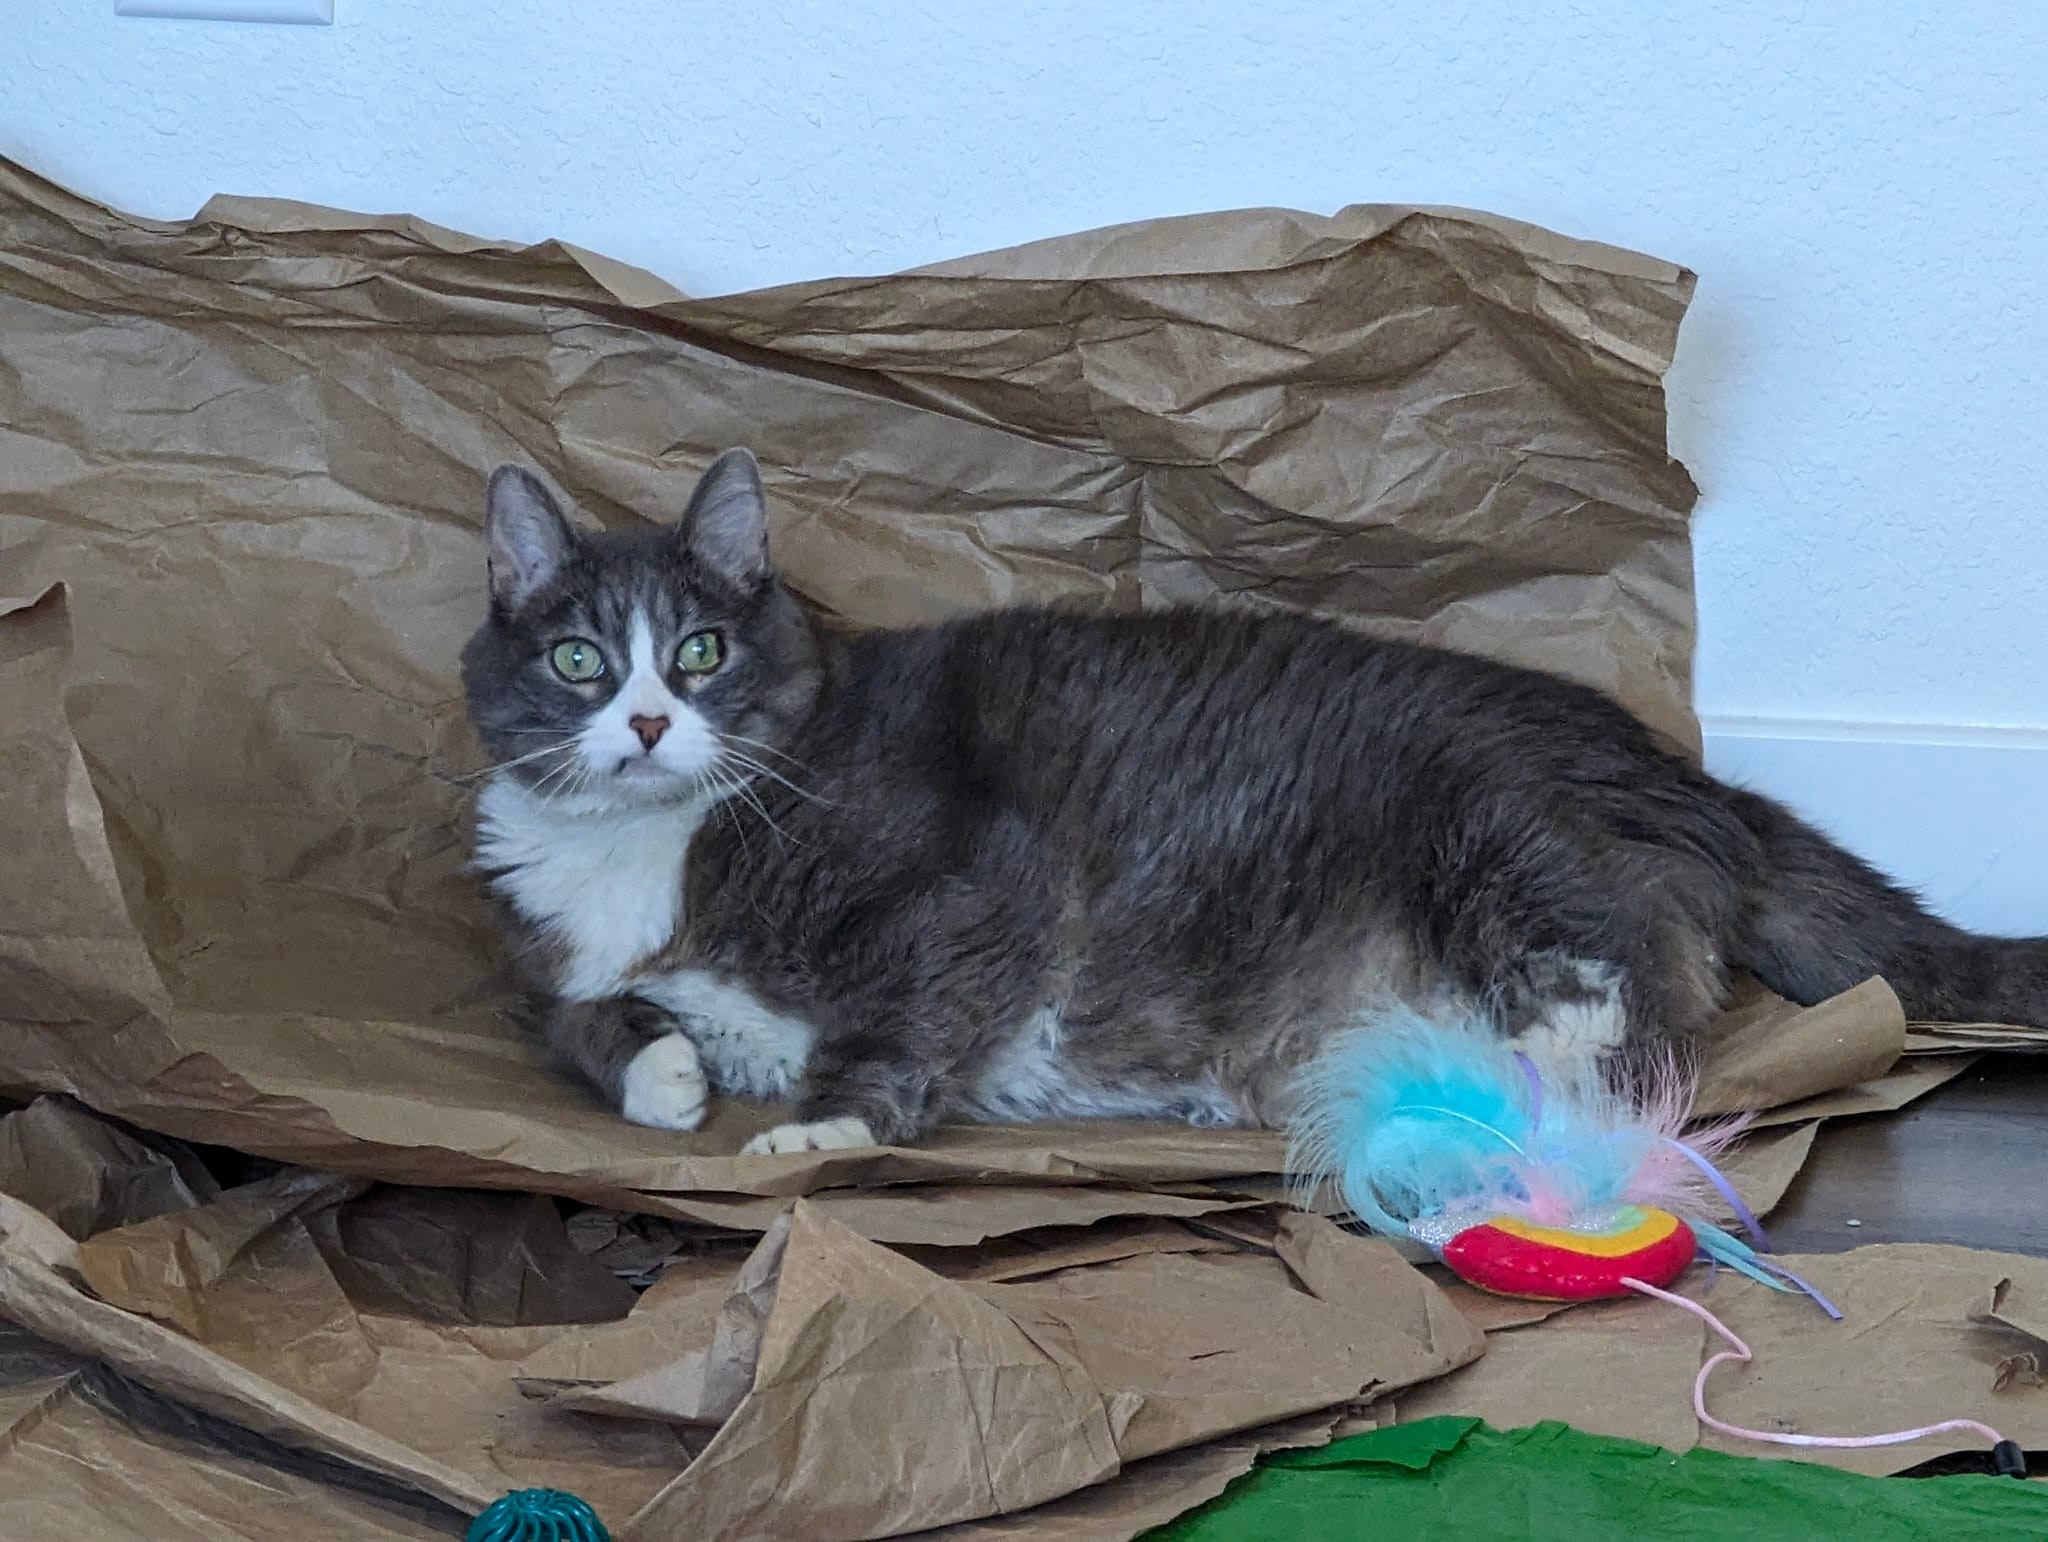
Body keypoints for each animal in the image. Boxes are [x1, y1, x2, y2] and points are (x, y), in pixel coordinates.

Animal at [460, 449, 2048, 1155]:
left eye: (703, 651)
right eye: (579, 657)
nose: (647, 720)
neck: (648, 853)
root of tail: (1692, 777)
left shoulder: (969, 876)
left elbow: (902, 1013)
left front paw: (821, 1127)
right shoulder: (546, 959)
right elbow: (575, 1022)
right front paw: (666, 1073)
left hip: (1503, 832)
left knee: (1631, 1018)